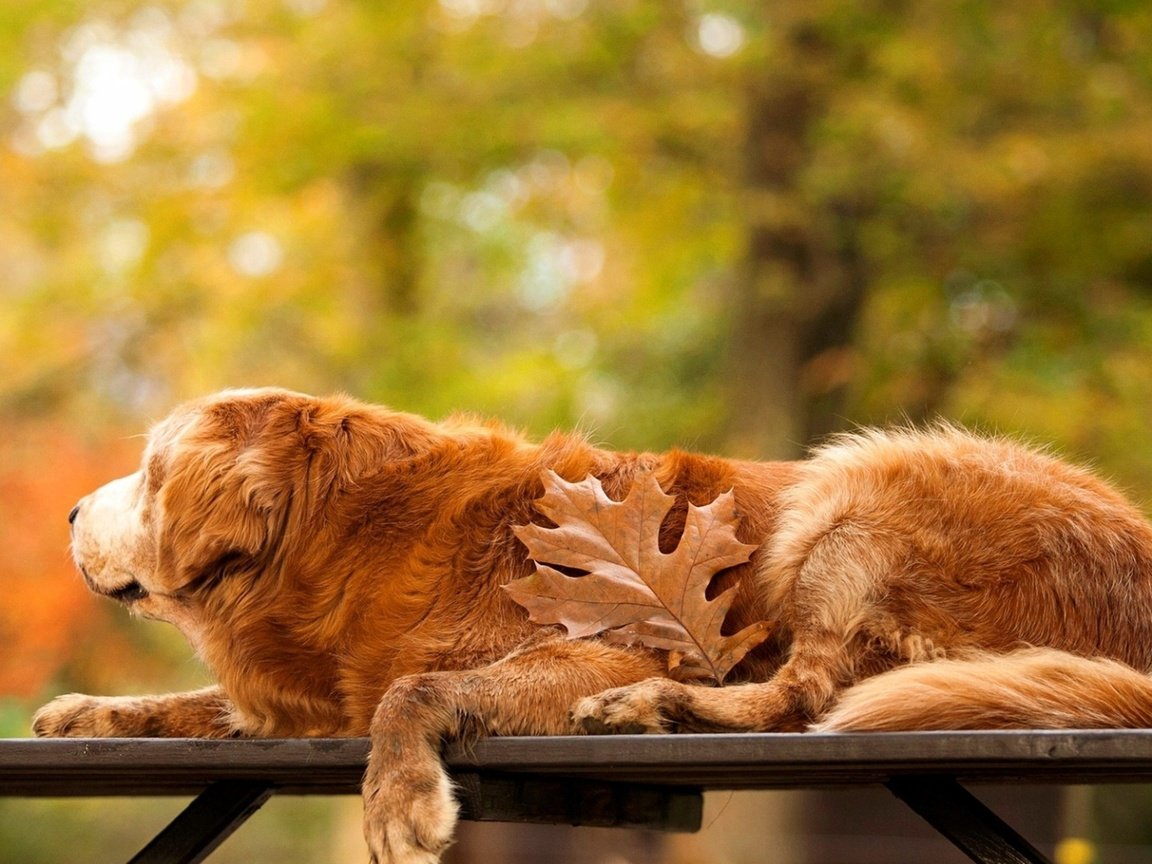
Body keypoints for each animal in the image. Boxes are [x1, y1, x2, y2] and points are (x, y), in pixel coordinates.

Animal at [33, 389, 1152, 861]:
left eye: (147, 470)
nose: (72, 513)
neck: (344, 534)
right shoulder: (307, 698)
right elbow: (197, 703)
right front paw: (89, 711)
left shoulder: (600, 644)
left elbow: (414, 689)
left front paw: (396, 800)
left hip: (856, 486)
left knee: (806, 695)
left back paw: (655, 708)